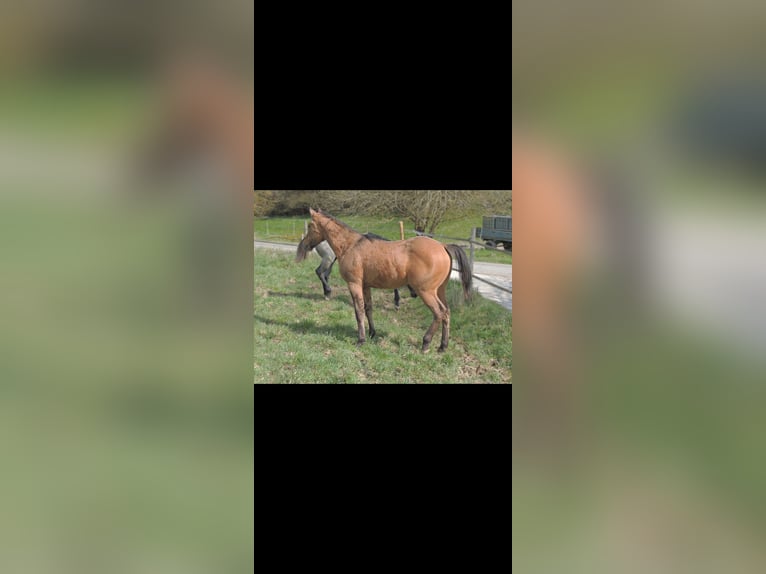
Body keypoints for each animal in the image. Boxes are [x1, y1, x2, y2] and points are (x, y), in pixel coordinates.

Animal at [296, 209, 473, 352]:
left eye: (310, 226)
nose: (304, 245)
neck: (351, 245)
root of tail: (443, 246)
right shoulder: (365, 286)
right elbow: (368, 308)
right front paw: (372, 333)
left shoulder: (354, 284)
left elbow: (358, 311)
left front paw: (361, 340)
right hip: (439, 291)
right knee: (446, 313)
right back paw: (443, 346)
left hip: (426, 292)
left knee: (439, 313)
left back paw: (426, 343)